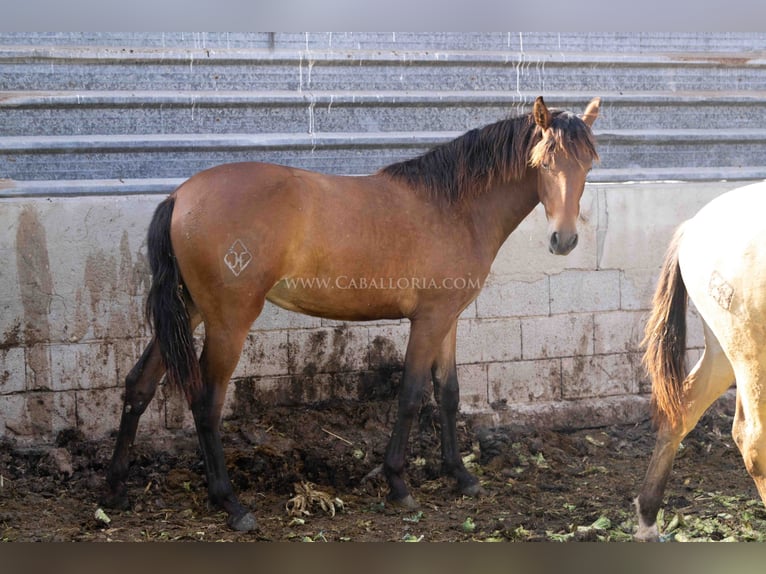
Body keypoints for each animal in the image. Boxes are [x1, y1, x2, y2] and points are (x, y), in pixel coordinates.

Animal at [105, 94, 604, 532]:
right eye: (544, 162)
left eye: (588, 164)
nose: (564, 239)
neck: (454, 207)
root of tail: (180, 196)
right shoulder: (428, 321)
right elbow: (411, 395)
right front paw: (398, 484)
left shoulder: (448, 319)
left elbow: (448, 394)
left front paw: (461, 477)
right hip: (228, 322)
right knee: (206, 403)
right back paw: (230, 503)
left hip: (188, 310)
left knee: (139, 384)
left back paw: (115, 489)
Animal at [640, 182, 766, 544]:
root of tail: (692, 229)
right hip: (750, 352)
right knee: (753, 440)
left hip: (724, 351)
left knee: (680, 412)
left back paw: (647, 519)